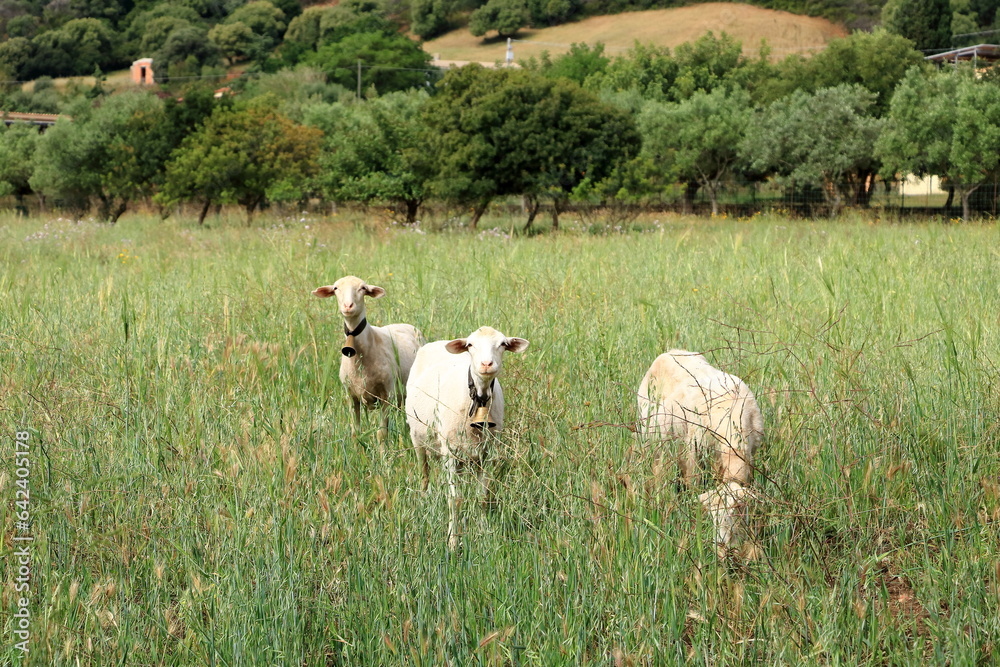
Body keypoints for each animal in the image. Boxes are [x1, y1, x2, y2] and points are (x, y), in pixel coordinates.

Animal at [313, 276, 424, 443]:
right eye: (336, 288)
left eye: (363, 288)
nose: (348, 306)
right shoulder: (351, 396)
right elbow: (355, 433)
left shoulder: (387, 394)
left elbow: (382, 434)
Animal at [405, 326, 529, 551]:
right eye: (470, 345)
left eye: (503, 344)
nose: (486, 364)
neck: (478, 397)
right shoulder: (450, 454)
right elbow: (455, 499)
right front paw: (453, 542)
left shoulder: (488, 454)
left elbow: (483, 497)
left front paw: (484, 533)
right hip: (418, 438)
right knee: (424, 472)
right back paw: (423, 498)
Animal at [637, 350, 764, 557]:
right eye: (713, 517)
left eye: (736, 514)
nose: (722, 548)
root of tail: (669, 351)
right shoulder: (693, 452)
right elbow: (693, 484)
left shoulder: (750, 455)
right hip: (651, 437)